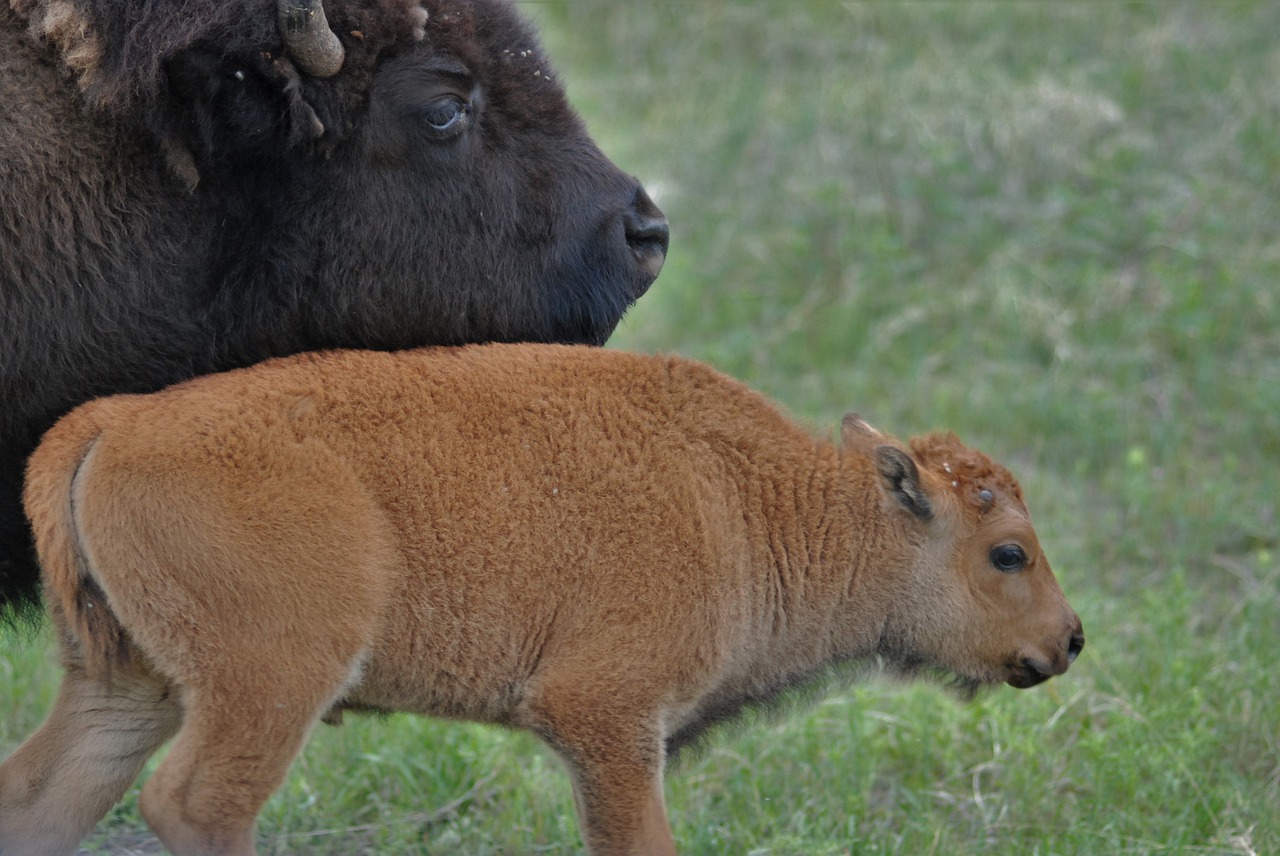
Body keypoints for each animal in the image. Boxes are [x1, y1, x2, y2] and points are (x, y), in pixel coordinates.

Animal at [0, 342, 1085, 849]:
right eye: (1006, 553)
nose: (1070, 639)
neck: (748, 501)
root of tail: (117, 421)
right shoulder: (605, 719)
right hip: (269, 685)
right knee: (196, 803)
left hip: (129, 687)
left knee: (43, 795)